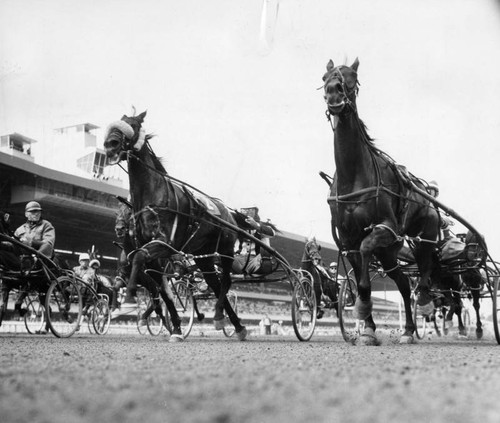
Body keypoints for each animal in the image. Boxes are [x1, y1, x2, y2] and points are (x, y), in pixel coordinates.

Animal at [104, 112, 248, 342]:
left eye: (133, 124)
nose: (111, 144)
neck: (153, 196)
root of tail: (227, 211)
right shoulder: (152, 256)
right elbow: (163, 291)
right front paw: (177, 328)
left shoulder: (164, 243)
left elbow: (140, 259)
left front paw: (128, 299)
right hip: (205, 256)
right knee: (215, 284)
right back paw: (235, 325)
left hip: (225, 249)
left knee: (225, 281)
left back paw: (220, 315)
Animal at [322, 58, 440, 344]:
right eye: (323, 78)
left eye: (352, 78)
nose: (333, 94)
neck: (354, 175)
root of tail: (429, 197)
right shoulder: (348, 239)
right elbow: (360, 275)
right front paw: (367, 327)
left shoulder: (386, 228)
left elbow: (366, 251)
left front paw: (364, 310)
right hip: (388, 253)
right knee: (402, 282)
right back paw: (407, 329)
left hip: (423, 235)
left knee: (423, 268)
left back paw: (423, 304)